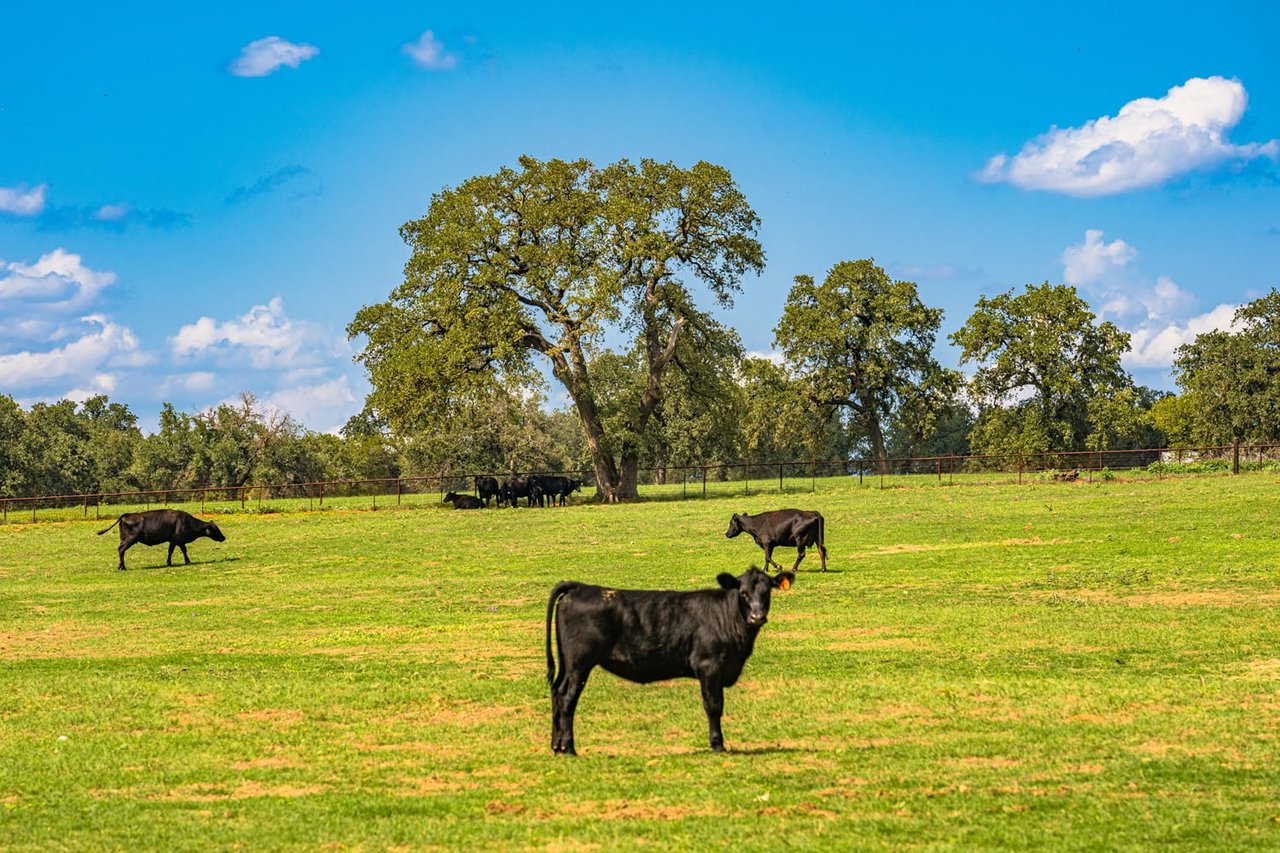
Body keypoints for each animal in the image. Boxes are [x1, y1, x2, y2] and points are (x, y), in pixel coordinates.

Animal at [95, 507, 227, 568]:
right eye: (215, 529)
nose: (223, 537)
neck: (186, 522)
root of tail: (127, 515)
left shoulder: (178, 541)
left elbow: (181, 550)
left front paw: (185, 561)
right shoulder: (175, 540)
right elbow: (174, 551)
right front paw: (172, 562)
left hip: (124, 538)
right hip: (130, 539)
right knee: (121, 549)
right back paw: (122, 567)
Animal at [545, 563, 793, 753]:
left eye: (767, 592)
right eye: (743, 592)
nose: (757, 616)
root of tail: (580, 587)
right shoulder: (709, 666)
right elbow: (714, 706)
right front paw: (717, 745)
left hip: (567, 664)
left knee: (557, 693)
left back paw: (557, 746)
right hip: (579, 664)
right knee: (567, 698)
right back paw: (569, 747)